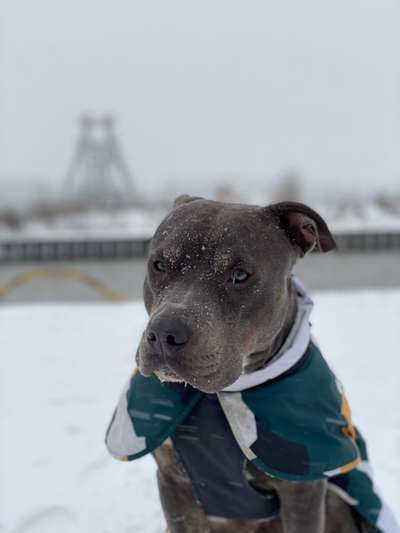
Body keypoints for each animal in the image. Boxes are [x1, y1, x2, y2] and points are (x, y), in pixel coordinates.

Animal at [136, 196, 374, 532]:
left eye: (240, 275)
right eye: (158, 265)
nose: (165, 333)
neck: (218, 398)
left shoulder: (303, 491)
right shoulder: (174, 485)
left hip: (335, 501)